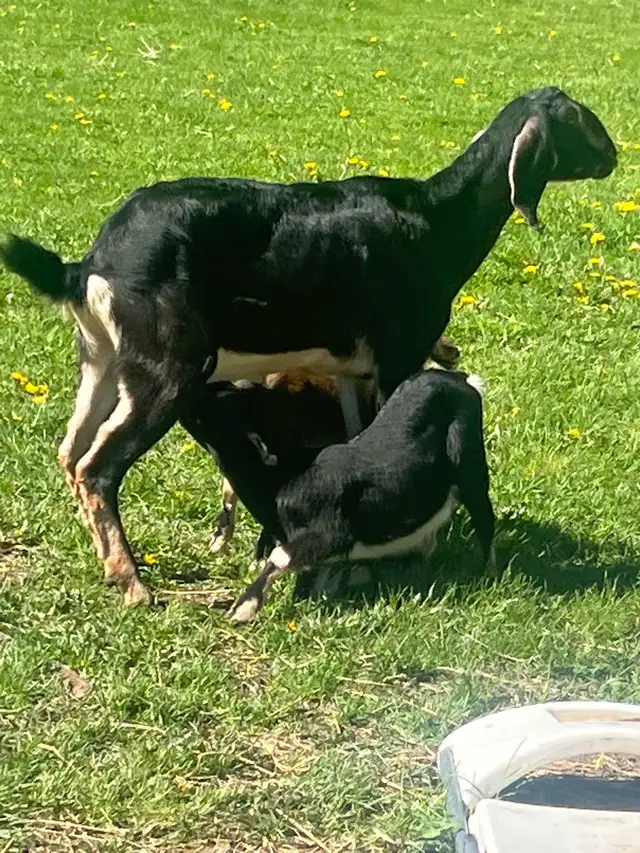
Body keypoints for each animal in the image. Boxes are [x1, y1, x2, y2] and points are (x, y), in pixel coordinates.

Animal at [228, 369, 493, 622]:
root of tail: (461, 380)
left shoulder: (333, 533)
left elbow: (281, 555)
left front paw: (243, 608)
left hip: (471, 467)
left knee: (484, 516)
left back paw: (486, 573)